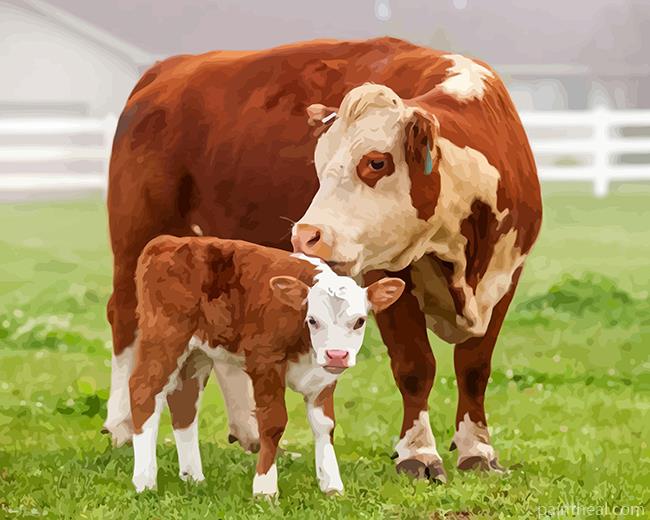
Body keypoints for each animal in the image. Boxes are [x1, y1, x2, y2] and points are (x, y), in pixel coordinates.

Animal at [129, 235, 404, 496]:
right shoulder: (265, 363)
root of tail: (168, 241)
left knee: (184, 402)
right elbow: (273, 423)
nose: (337, 355)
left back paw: (193, 478)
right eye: (313, 320)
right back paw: (145, 481)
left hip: (197, 353)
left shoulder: (324, 376)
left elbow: (325, 425)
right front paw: (265, 489)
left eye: (359, 321)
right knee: (144, 391)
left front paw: (332, 485)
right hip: (164, 338)